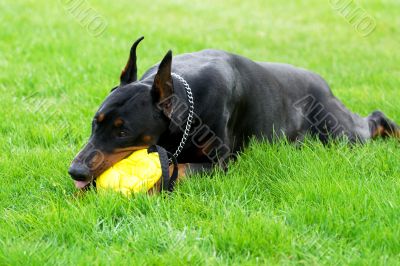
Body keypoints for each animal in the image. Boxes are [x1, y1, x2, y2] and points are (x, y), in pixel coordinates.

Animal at [68, 36, 396, 188]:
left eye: (123, 131)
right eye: (95, 123)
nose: (75, 170)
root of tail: (323, 83)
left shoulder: (221, 164)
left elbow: (180, 169)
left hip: (339, 132)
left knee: (374, 119)